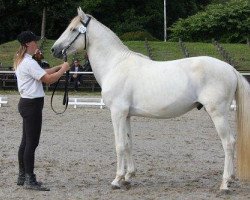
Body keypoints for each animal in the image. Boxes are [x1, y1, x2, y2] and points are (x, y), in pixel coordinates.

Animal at [51, 7, 250, 191]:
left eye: (73, 29)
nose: (54, 49)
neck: (115, 64)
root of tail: (230, 69)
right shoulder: (126, 115)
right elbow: (129, 143)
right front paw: (128, 177)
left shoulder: (117, 113)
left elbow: (119, 145)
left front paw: (117, 180)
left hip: (218, 113)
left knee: (228, 142)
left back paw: (225, 183)